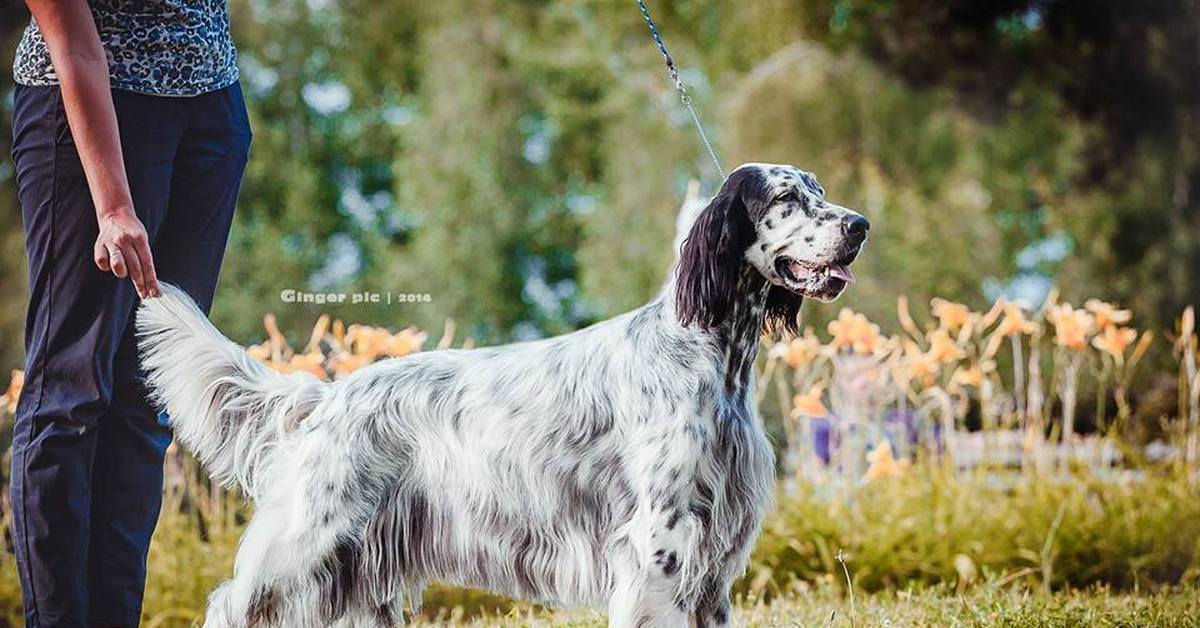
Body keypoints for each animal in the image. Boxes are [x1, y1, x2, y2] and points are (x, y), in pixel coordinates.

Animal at [138, 163, 873, 628]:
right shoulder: (658, 546)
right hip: (304, 544)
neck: (709, 356)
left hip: (356, 577)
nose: (860, 225)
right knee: (227, 605)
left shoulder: (711, 564)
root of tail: (328, 398)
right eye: (786, 198)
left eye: (820, 190)